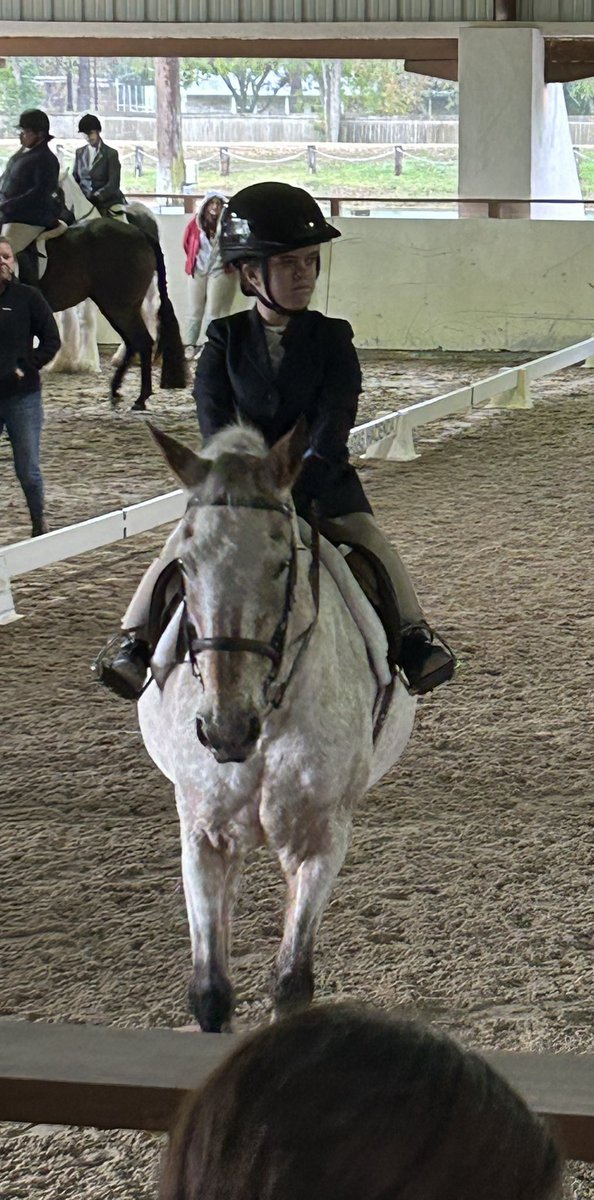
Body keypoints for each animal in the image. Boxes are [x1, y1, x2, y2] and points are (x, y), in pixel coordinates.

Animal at [29, 172, 186, 409]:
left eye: (57, 194)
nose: (60, 219)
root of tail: (140, 233)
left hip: (120, 305)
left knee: (142, 337)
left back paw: (140, 396)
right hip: (115, 305)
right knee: (134, 341)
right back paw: (117, 388)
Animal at [137, 421, 417, 1032]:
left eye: (282, 562)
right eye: (185, 565)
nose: (225, 730)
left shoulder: (319, 839)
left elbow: (292, 982)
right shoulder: (203, 836)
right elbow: (211, 992)